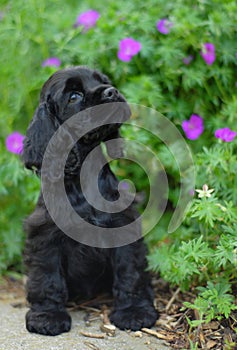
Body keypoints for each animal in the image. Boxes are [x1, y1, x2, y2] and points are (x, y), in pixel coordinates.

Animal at [22, 66, 158, 336]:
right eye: (74, 96)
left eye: (103, 81)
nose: (112, 91)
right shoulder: (45, 236)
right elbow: (47, 277)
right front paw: (47, 316)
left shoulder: (122, 226)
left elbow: (130, 272)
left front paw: (134, 311)